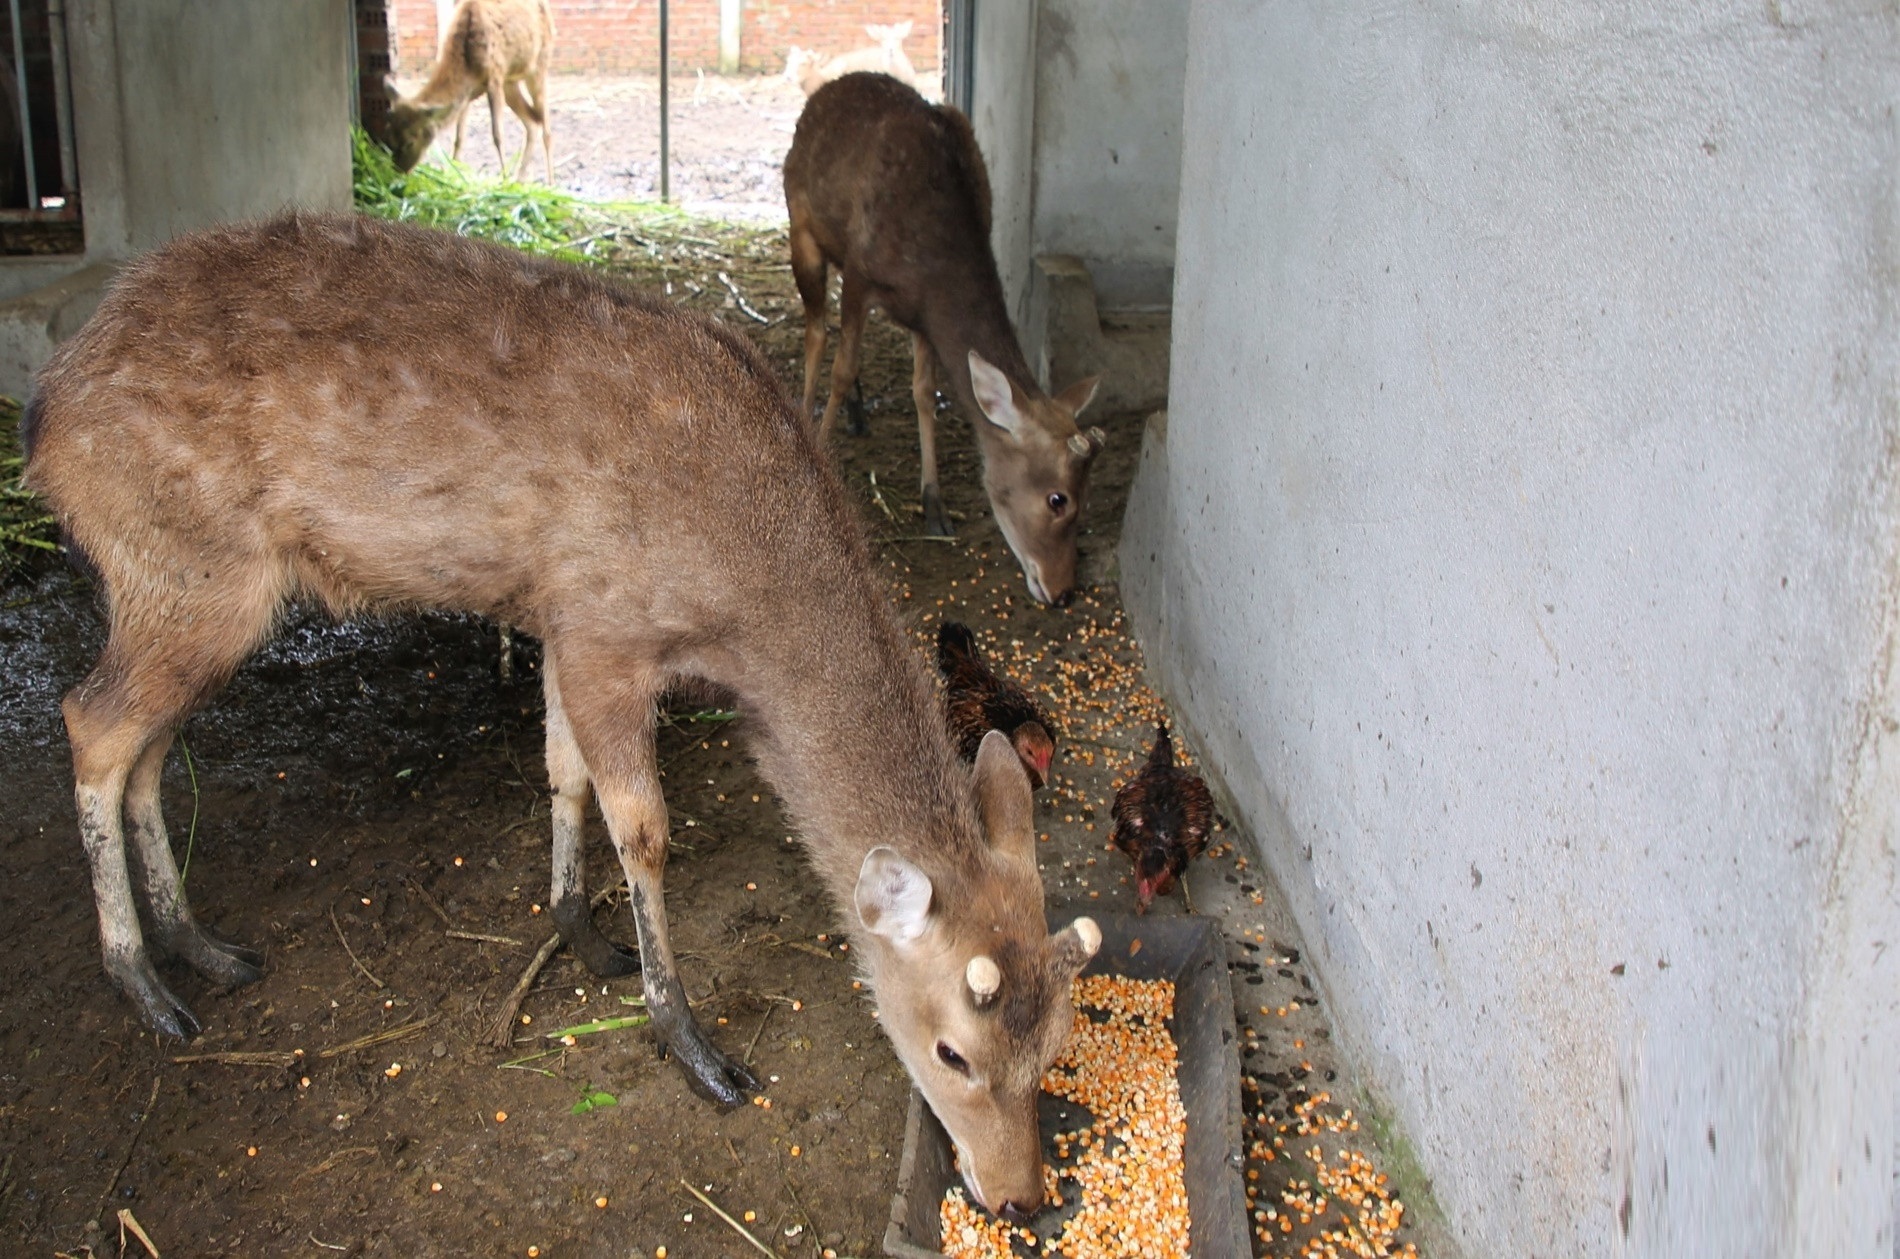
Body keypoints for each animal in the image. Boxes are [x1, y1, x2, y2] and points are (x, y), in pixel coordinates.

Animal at [18, 214, 1102, 1222]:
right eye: (952, 1051)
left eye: (1059, 1040)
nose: (1020, 1194)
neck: (744, 601)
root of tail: (45, 413)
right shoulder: (604, 631)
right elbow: (644, 825)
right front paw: (690, 1041)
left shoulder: (558, 620)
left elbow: (561, 768)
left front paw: (579, 928)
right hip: (185, 566)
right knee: (91, 720)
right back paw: (143, 982)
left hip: (192, 596)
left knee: (150, 749)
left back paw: (201, 944)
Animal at [381, 0, 554, 182]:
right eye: (388, 136)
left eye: (410, 142)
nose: (399, 171)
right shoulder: (468, 93)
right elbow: (459, 139)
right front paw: (454, 173)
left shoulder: (495, 76)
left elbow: (497, 136)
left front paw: (504, 181)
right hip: (510, 82)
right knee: (533, 122)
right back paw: (520, 181)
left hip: (539, 65)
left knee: (547, 130)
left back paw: (550, 182)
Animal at [782, 74, 1109, 607]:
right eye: (1057, 499)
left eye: (1088, 495)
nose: (1063, 591)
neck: (932, 260)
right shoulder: (860, 274)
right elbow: (841, 367)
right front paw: (823, 451)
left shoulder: (922, 317)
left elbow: (924, 393)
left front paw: (934, 505)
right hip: (803, 228)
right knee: (815, 331)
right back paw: (809, 414)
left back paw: (857, 414)